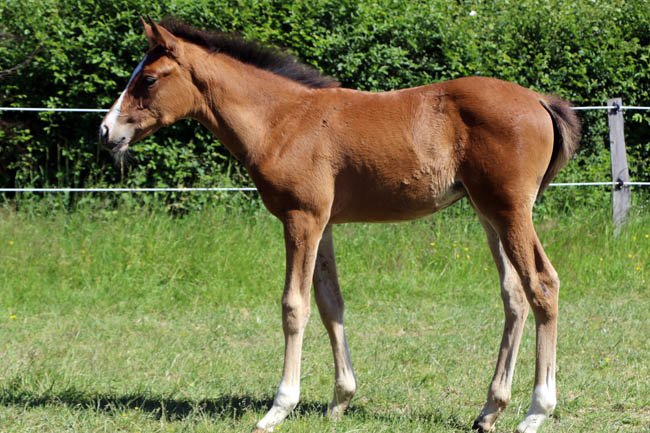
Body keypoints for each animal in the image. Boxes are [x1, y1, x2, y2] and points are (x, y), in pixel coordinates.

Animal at [99, 17, 581, 433]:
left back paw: (535, 412)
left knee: (542, 284)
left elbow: (294, 306)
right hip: (488, 213)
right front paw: (340, 400)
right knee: (514, 295)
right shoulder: (323, 223)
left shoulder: (301, 218)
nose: (105, 131)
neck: (281, 120)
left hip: (510, 211)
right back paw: (489, 410)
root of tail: (540, 101)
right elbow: (331, 302)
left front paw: (279, 408)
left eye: (148, 79)